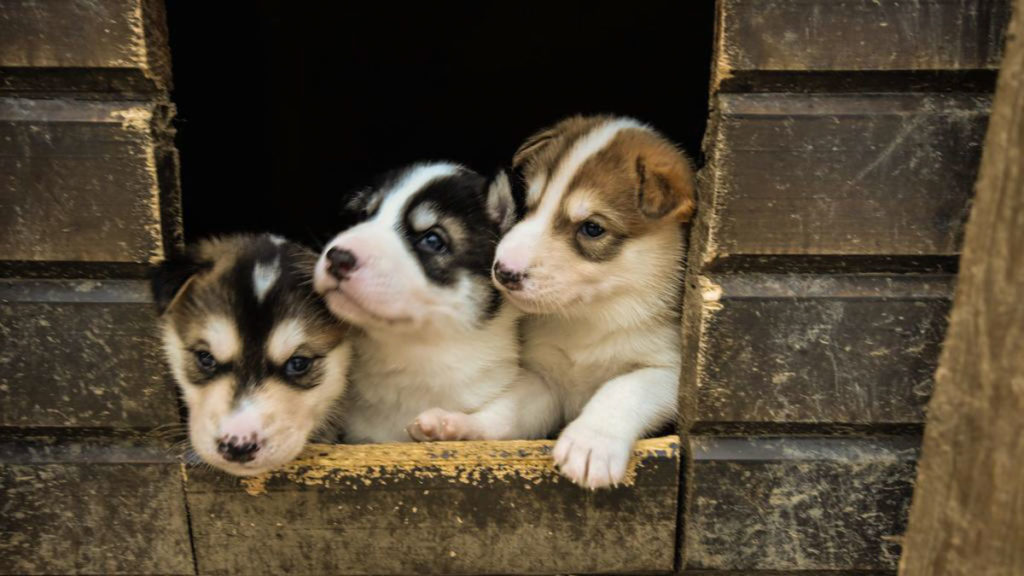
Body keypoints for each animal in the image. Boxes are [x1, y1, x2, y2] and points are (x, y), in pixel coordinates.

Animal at [489, 115, 696, 483]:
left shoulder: (667, 372)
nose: (504, 271)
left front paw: (590, 444)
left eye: (592, 229)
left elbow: (621, 389)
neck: (592, 318)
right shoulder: (545, 380)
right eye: (529, 207)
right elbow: (509, 408)